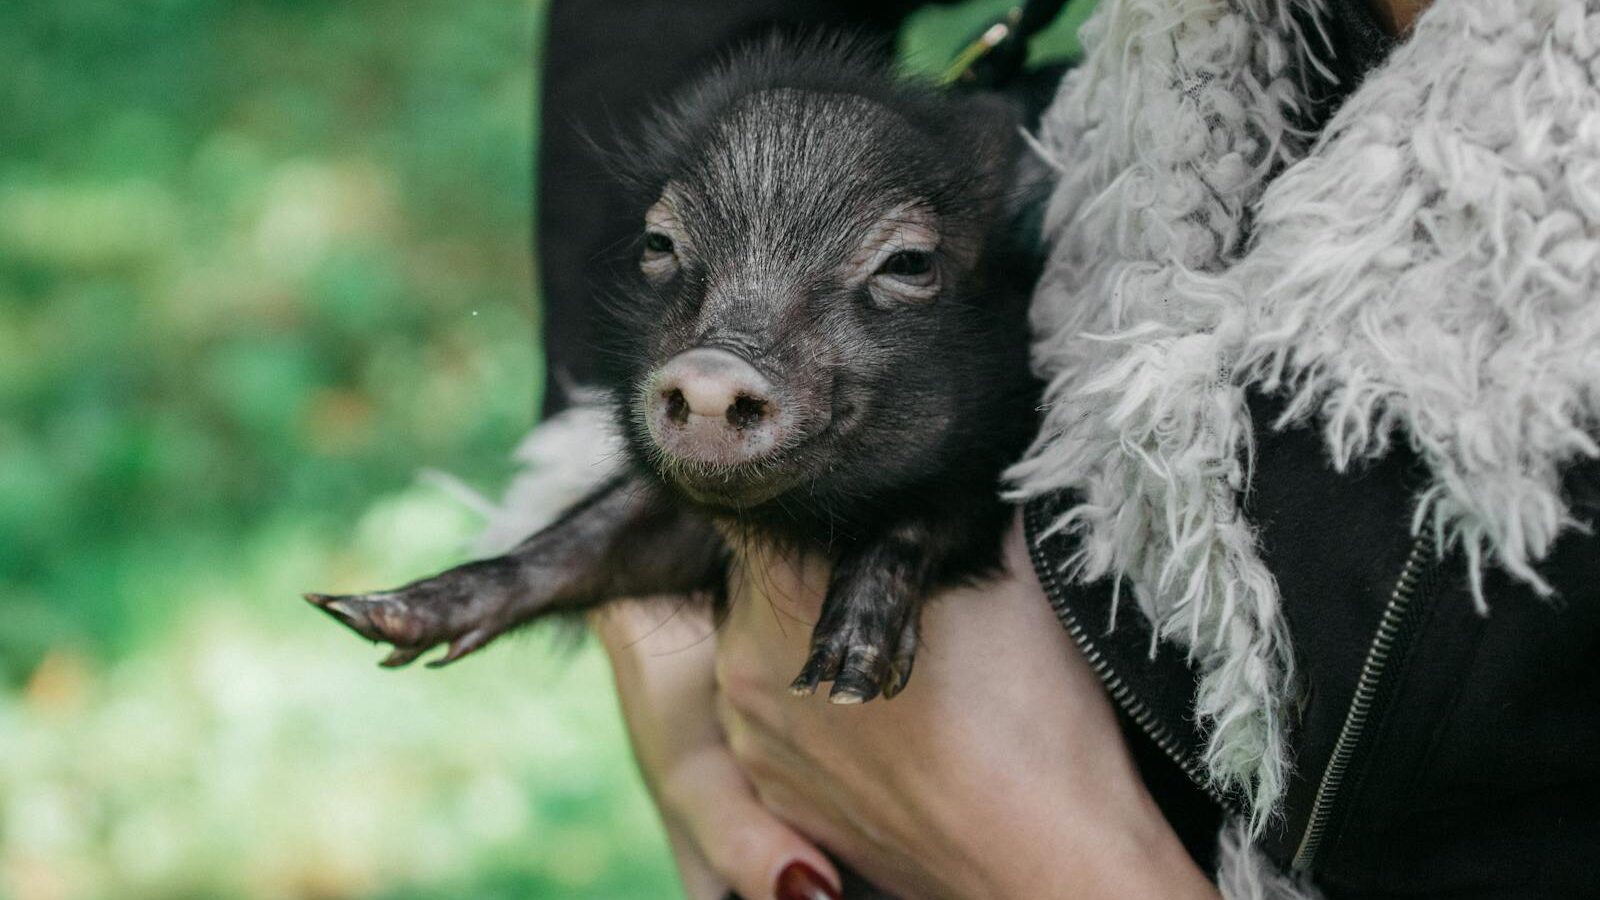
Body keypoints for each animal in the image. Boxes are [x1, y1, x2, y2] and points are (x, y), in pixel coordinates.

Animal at [306, 36, 1042, 706]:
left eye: (910, 262)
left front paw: (843, 678)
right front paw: (357, 610)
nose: (713, 366)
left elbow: (922, 517)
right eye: (660, 243)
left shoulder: (1002, 460)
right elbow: (586, 539)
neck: (803, 519)